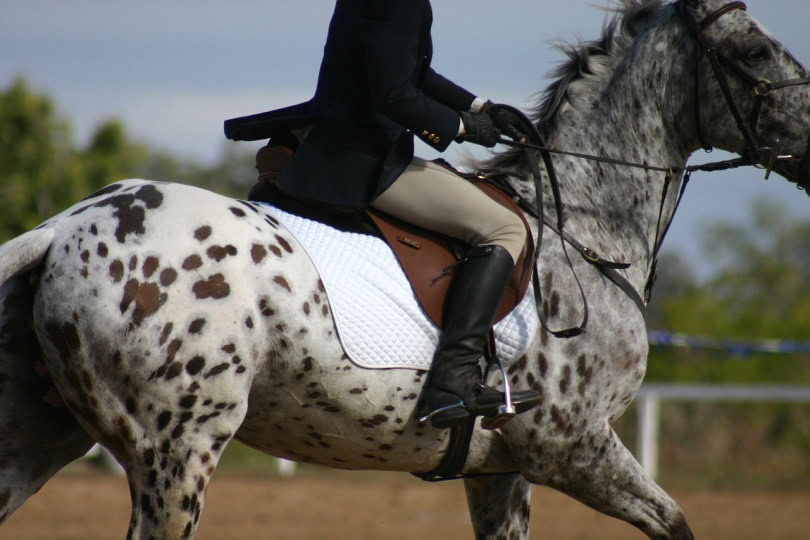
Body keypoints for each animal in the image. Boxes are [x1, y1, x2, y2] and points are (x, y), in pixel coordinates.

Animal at [1, 0, 808, 538]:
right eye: (755, 53)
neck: (582, 232)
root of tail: (65, 225)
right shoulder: (571, 445)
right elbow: (676, 523)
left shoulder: (502, 468)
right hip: (179, 450)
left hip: (43, 433)